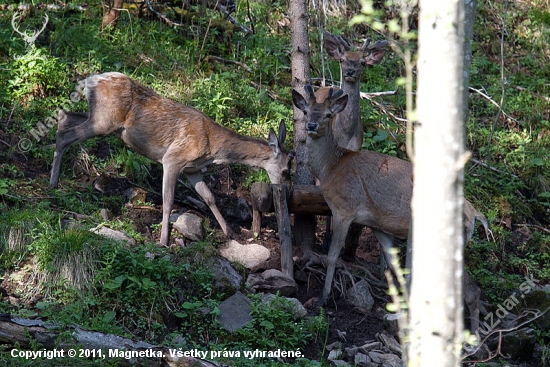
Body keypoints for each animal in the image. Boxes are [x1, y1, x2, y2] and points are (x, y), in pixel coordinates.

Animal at [49, 72, 296, 247]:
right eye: (286, 170)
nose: (286, 192)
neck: (213, 147)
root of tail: (89, 80)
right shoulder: (173, 158)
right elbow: (168, 200)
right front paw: (163, 241)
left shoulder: (192, 169)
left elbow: (210, 197)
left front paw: (230, 232)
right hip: (105, 120)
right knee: (65, 135)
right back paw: (52, 183)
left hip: (99, 118)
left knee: (64, 116)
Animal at [296, 86, 490, 334]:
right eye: (306, 111)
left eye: (328, 115)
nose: (311, 126)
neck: (331, 168)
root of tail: (475, 215)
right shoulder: (377, 225)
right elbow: (395, 266)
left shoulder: (344, 208)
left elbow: (332, 256)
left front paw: (323, 298)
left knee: (470, 291)